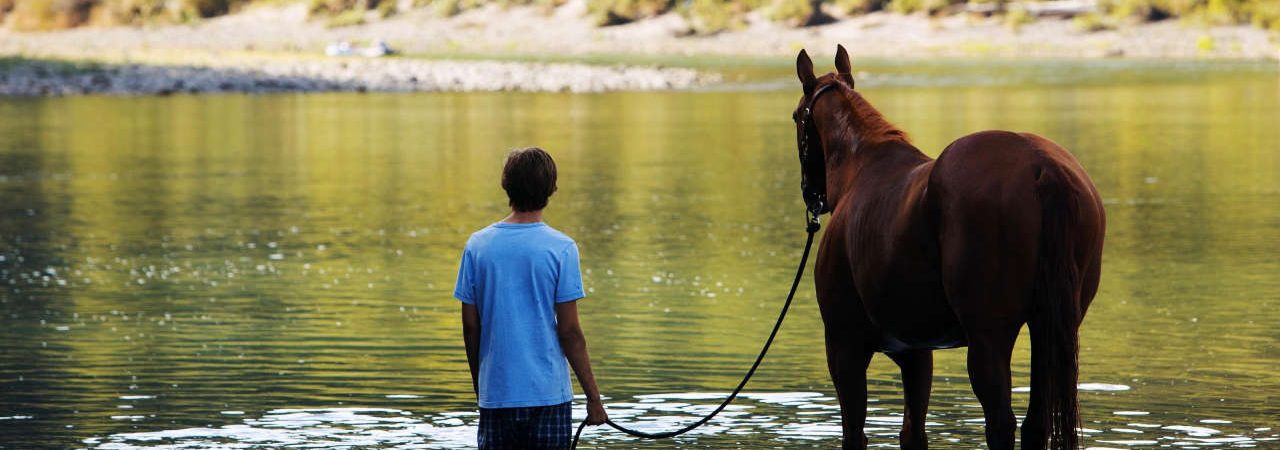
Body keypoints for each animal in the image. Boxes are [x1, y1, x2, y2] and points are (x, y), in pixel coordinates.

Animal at [788, 46, 1100, 450]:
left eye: (797, 116)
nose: (811, 193)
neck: (863, 167)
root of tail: (1041, 163)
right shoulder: (916, 353)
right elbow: (912, 432)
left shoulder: (844, 347)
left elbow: (855, 434)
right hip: (1049, 327)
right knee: (1036, 423)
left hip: (989, 338)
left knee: (1001, 424)